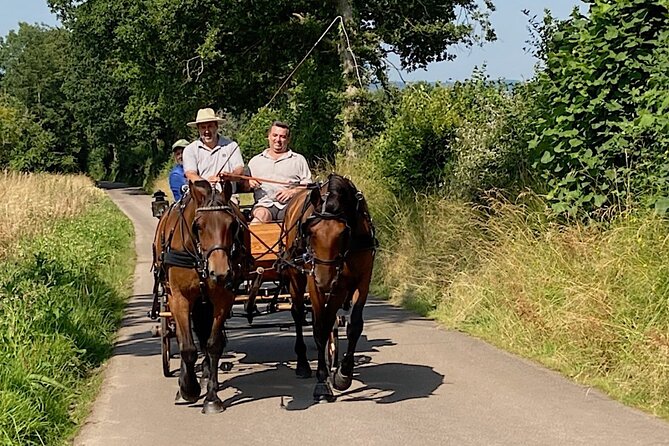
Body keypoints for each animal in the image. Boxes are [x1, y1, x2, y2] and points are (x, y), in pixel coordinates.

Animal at [153, 179, 248, 414]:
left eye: (232, 225)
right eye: (198, 226)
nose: (220, 272)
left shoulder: (223, 297)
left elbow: (213, 344)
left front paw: (212, 398)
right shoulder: (179, 298)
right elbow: (187, 347)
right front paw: (188, 389)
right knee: (182, 336)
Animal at [280, 173, 376, 400]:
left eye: (343, 233)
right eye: (309, 231)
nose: (324, 281)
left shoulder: (360, 281)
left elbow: (354, 325)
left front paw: (343, 374)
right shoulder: (316, 284)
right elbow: (320, 328)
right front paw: (322, 382)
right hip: (297, 277)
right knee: (298, 314)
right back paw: (303, 364)